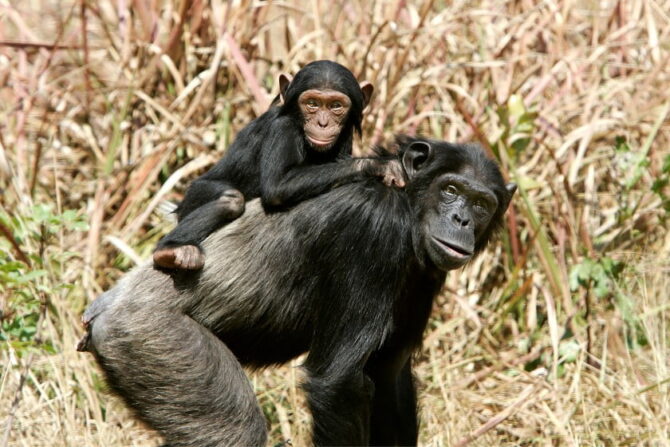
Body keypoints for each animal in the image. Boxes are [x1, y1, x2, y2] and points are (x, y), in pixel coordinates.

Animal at [80, 137, 520, 447]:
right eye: (451, 190)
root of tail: (101, 314)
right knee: (231, 430)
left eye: (481, 203)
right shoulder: (373, 225)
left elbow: (388, 373)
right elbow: (339, 381)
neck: (406, 199)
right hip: (154, 342)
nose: (462, 218)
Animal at [154, 59, 400, 270]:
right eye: (312, 104)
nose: (322, 123)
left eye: (336, 106)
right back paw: (171, 249)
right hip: (194, 195)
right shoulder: (283, 129)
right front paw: (375, 165)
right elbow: (277, 187)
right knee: (231, 199)